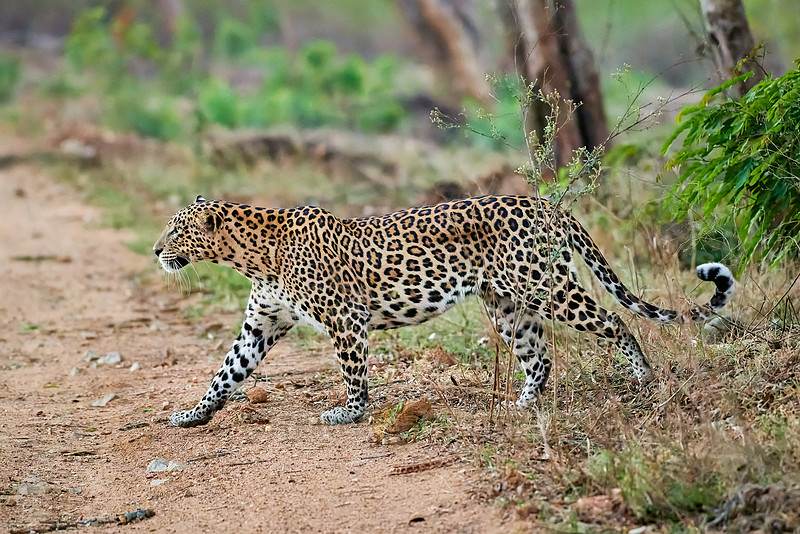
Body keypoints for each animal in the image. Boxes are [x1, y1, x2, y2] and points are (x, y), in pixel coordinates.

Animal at [154, 194, 734, 427]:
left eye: (176, 231)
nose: (157, 250)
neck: (252, 256)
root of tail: (546, 204)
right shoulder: (262, 323)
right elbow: (226, 372)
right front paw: (192, 415)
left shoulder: (345, 319)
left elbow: (353, 372)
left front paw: (350, 413)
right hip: (508, 306)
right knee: (540, 357)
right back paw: (524, 405)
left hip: (547, 288)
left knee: (615, 321)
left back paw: (644, 379)